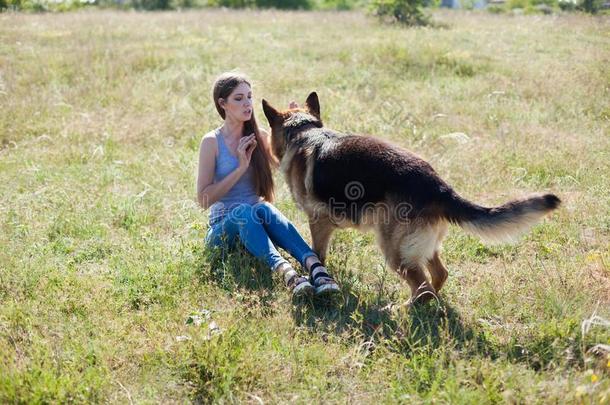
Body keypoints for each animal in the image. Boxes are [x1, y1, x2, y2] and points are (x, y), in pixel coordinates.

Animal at [258, 93, 560, 304]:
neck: (304, 132)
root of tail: (438, 186)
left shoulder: (319, 222)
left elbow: (315, 253)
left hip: (395, 250)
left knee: (423, 286)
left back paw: (403, 308)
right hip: (421, 245)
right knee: (438, 275)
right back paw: (431, 305)